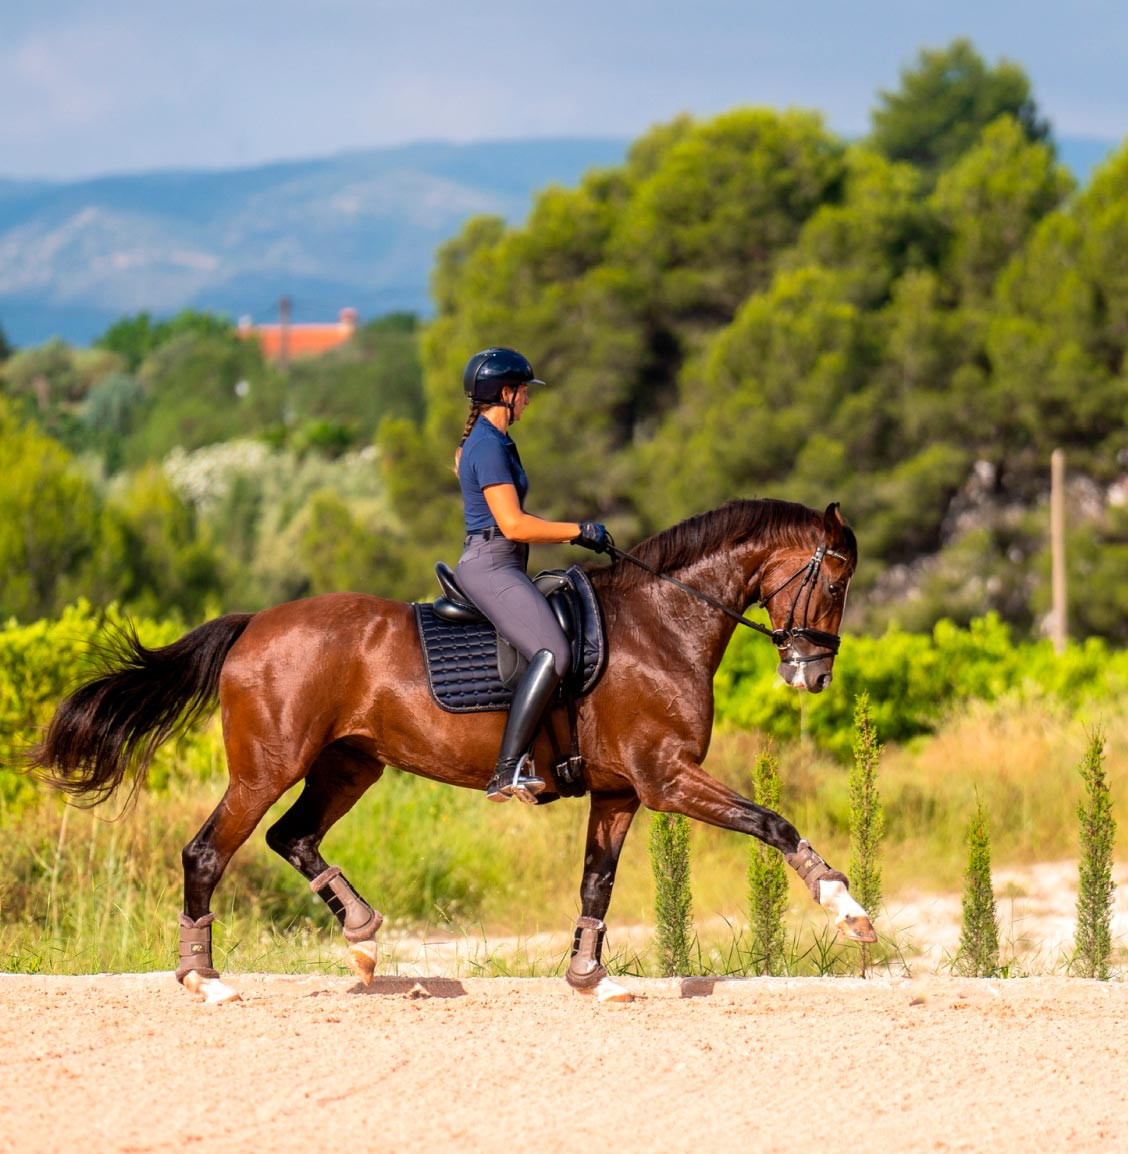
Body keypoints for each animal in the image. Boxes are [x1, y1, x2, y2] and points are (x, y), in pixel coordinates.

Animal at [30, 497, 874, 1004]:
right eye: (835, 583)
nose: (814, 673)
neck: (661, 623)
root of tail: (254, 625)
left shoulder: (620, 792)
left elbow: (596, 884)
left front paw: (590, 977)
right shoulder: (667, 778)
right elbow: (772, 822)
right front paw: (847, 908)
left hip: (350, 763)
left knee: (291, 836)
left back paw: (364, 939)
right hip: (268, 766)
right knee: (209, 852)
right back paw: (206, 980)